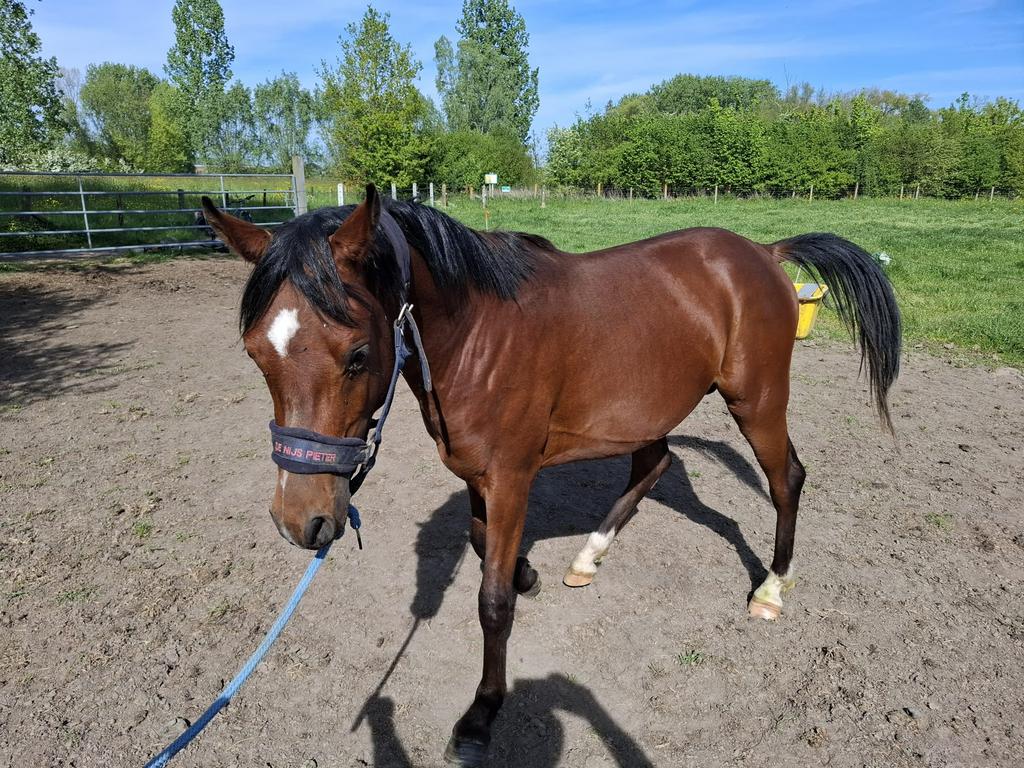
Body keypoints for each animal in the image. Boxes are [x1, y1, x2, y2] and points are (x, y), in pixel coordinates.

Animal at [200, 184, 900, 767]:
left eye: (358, 355)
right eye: (256, 353)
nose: (301, 520)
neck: (477, 333)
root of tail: (763, 252)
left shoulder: (511, 475)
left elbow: (491, 601)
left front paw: (481, 714)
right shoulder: (477, 475)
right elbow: (484, 545)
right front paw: (527, 571)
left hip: (757, 400)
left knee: (787, 480)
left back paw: (772, 588)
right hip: (646, 411)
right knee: (654, 464)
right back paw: (588, 557)